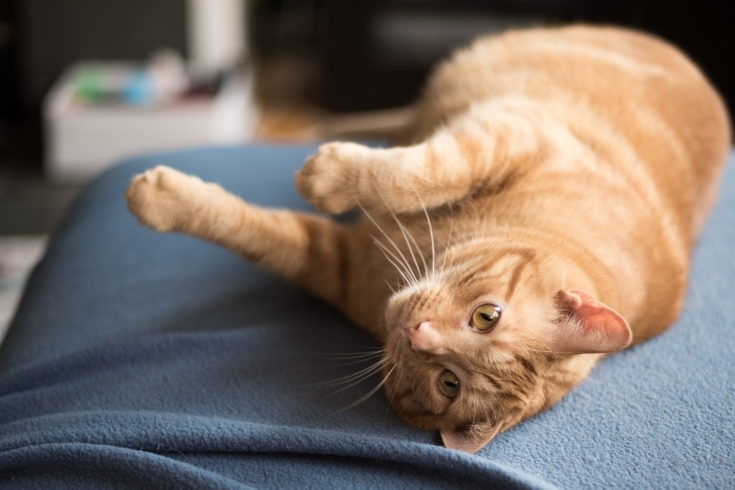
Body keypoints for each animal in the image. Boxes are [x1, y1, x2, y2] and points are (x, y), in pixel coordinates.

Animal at [126, 26, 732, 454]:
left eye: (448, 384)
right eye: (487, 316)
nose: (416, 335)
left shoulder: (333, 262)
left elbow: (251, 231)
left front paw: (162, 201)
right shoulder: (515, 135)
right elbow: (418, 172)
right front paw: (329, 176)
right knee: (399, 121)